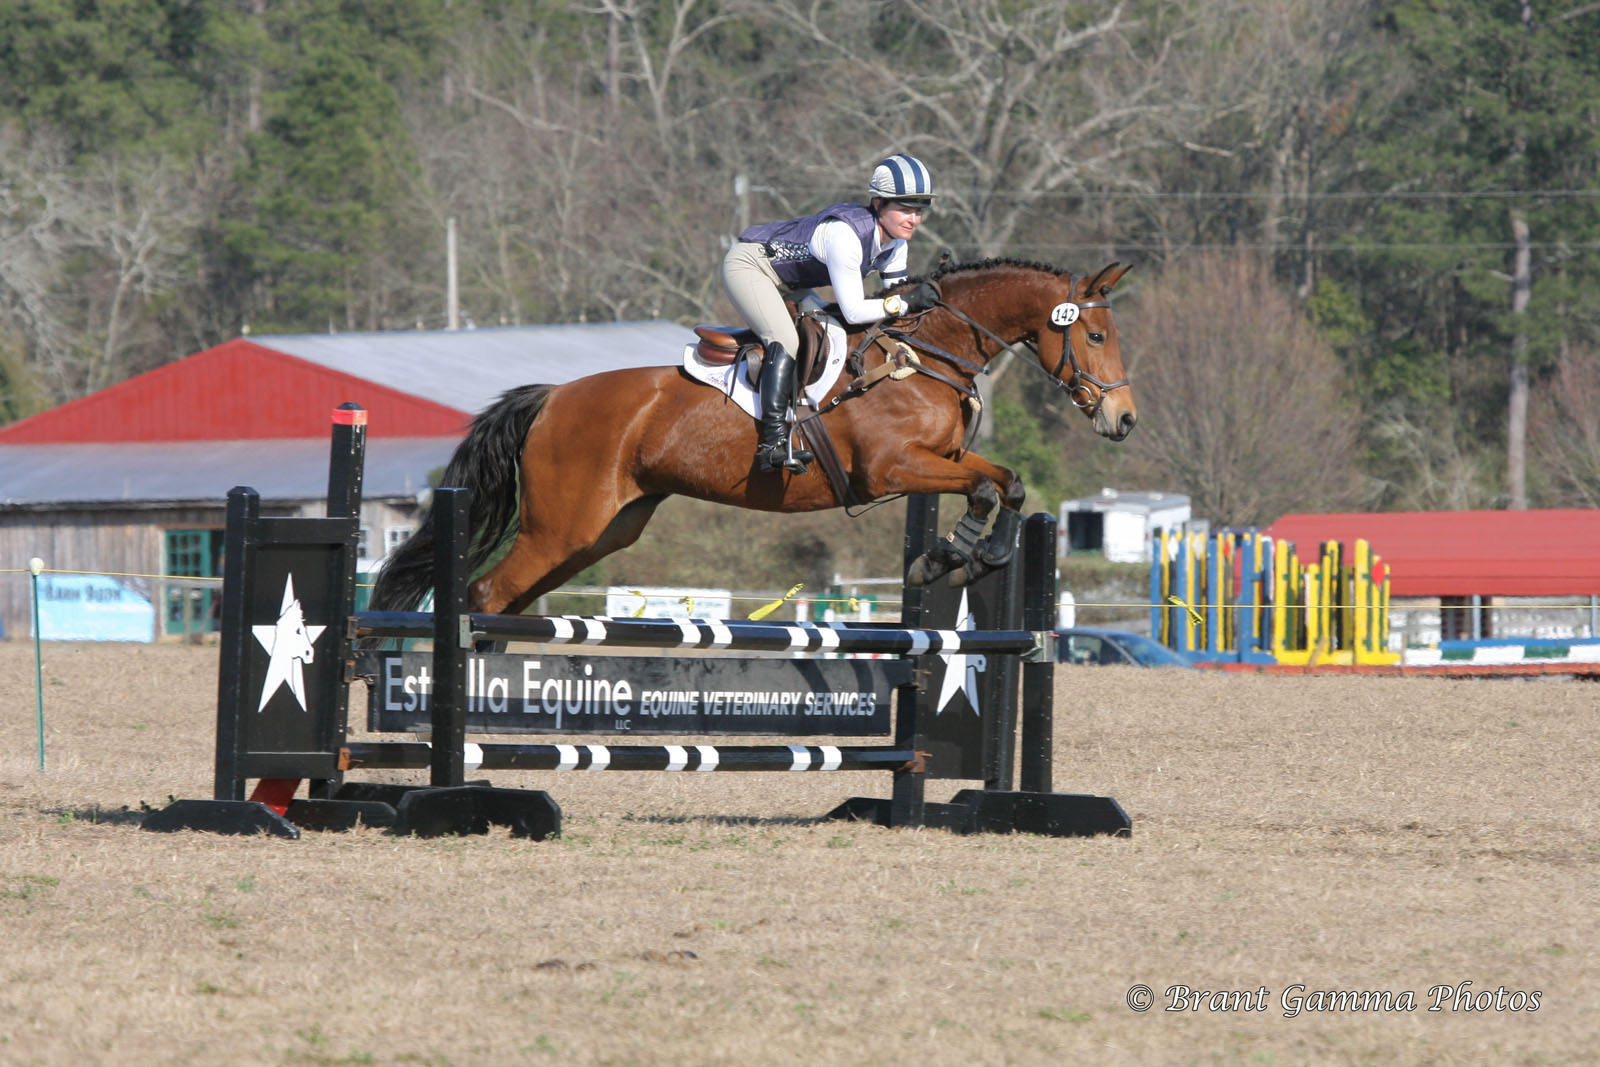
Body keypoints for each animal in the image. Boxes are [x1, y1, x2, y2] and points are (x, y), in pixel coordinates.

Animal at [371, 258, 1135, 617]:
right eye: (1096, 335)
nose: (1123, 420)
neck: (925, 354)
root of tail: (552, 397)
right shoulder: (893, 469)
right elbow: (982, 486)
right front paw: (945, 559)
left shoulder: (938, 458)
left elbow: (1005, 482)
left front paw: (971, 557)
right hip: (560, 527)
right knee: (485, 594)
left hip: (598, 533)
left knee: (507, 597)